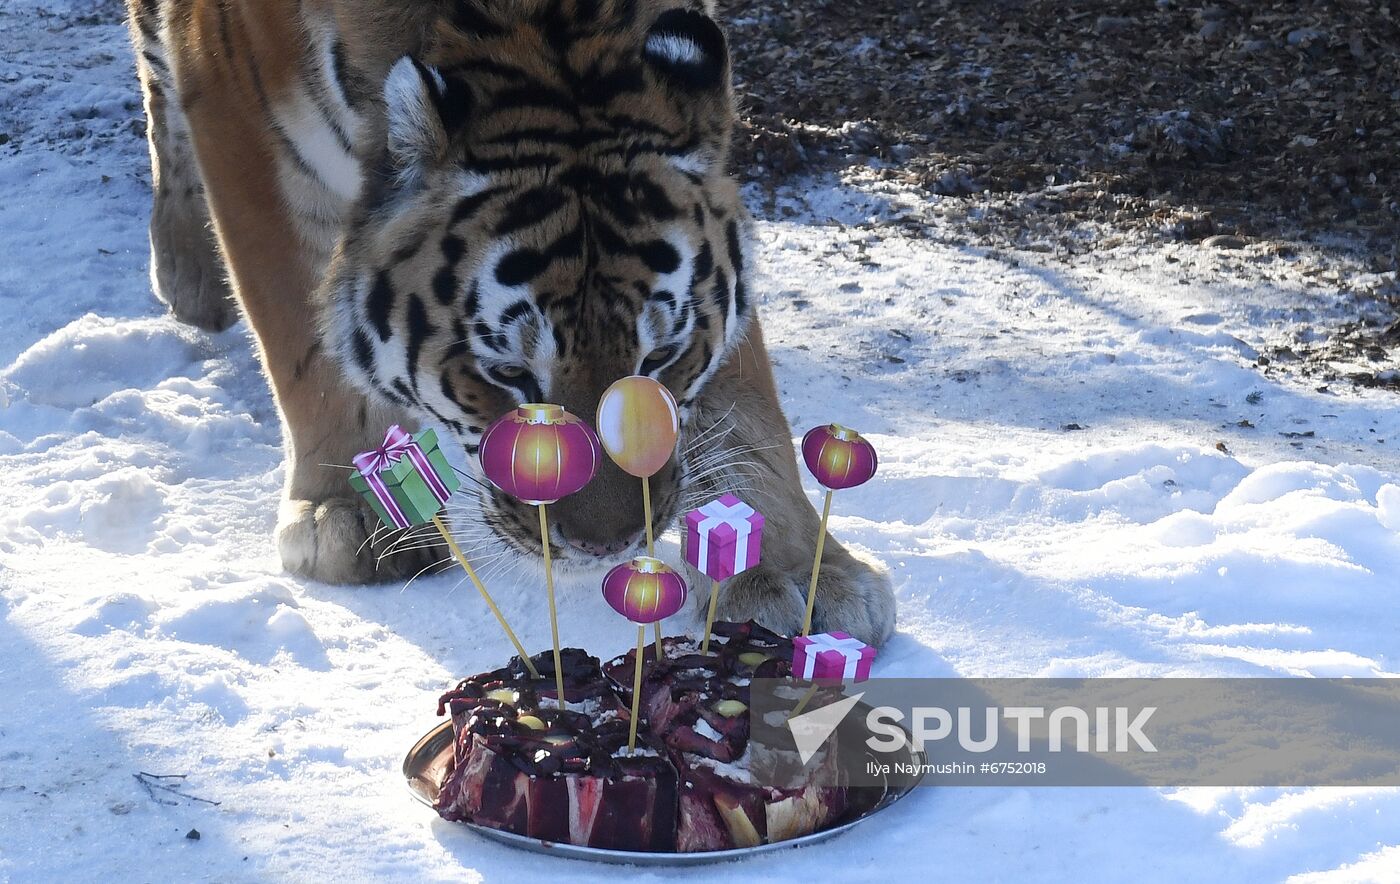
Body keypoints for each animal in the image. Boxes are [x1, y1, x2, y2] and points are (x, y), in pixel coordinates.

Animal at [126, 0, 890, 644]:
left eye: (660, 360)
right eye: (508, 375)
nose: (606, 546)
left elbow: (745, 396)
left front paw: (790, 568)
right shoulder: (240, 108)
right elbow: (302, 334)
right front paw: (349, 511)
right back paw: (188, 269)